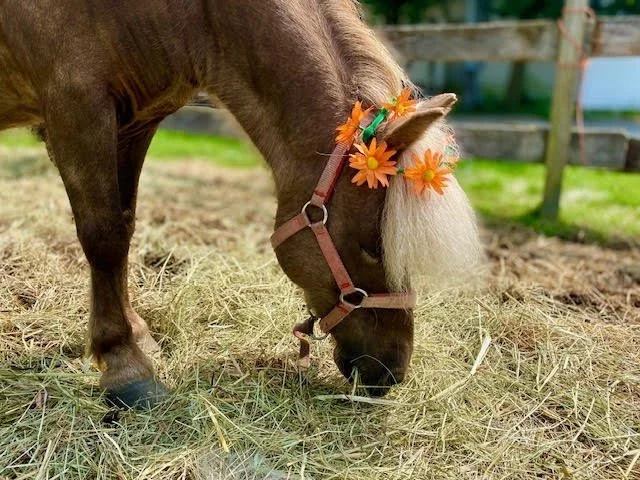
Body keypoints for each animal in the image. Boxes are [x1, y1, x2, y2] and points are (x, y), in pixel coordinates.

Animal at [0, 0, 482, 407]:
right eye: (372, 247)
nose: (390, 371)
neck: (186, 14)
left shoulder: (135, 123)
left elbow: (125, 226)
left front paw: (136, 334)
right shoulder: (77, 107)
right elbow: (104, 237)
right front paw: (125, 366)